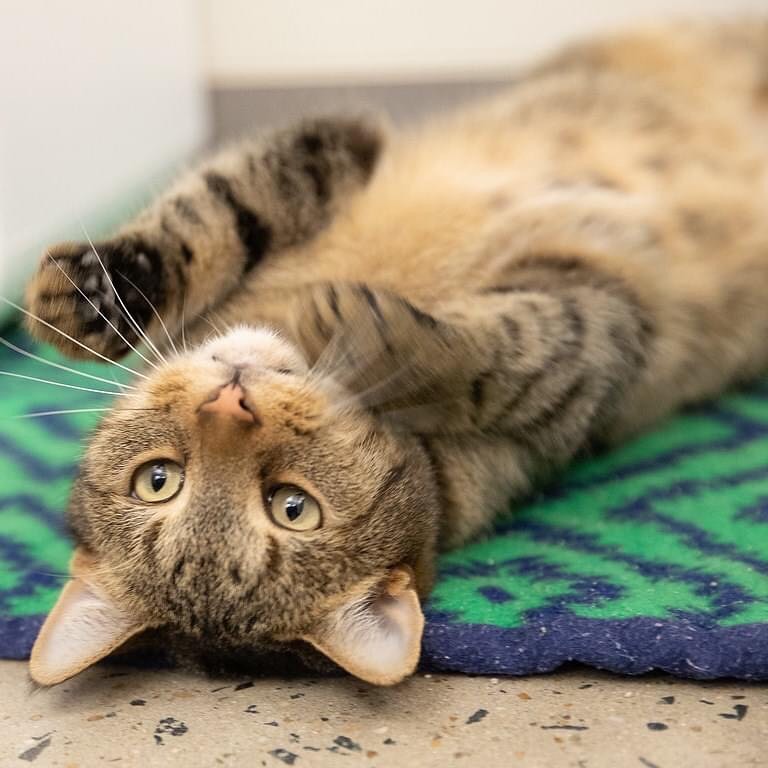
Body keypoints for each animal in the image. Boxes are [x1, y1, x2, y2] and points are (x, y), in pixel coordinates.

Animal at [24, 21, 768, 688]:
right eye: (160, 482)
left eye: (291, 506)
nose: (228, 401)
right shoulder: (595, 324)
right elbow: (511, 353)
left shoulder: (334, 153)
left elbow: (219, 209)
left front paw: (92, 295)